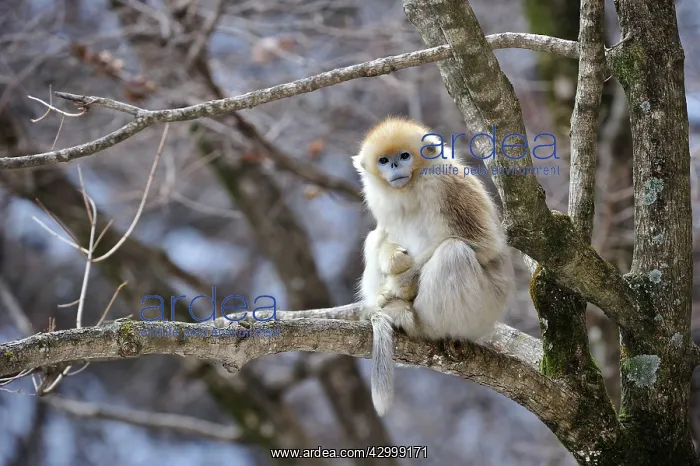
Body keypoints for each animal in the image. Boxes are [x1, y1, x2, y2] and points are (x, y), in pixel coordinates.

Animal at [353, 116, 513, 416]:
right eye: (384, 160)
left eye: (404, 156)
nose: (394, 167)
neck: (413, 186)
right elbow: (383, 236)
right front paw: (392, 260)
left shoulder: (448, 182)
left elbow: (483, 245)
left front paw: (397, 287)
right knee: (374, 237)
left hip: (481, 312)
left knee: (453, 252)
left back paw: (414, 323)